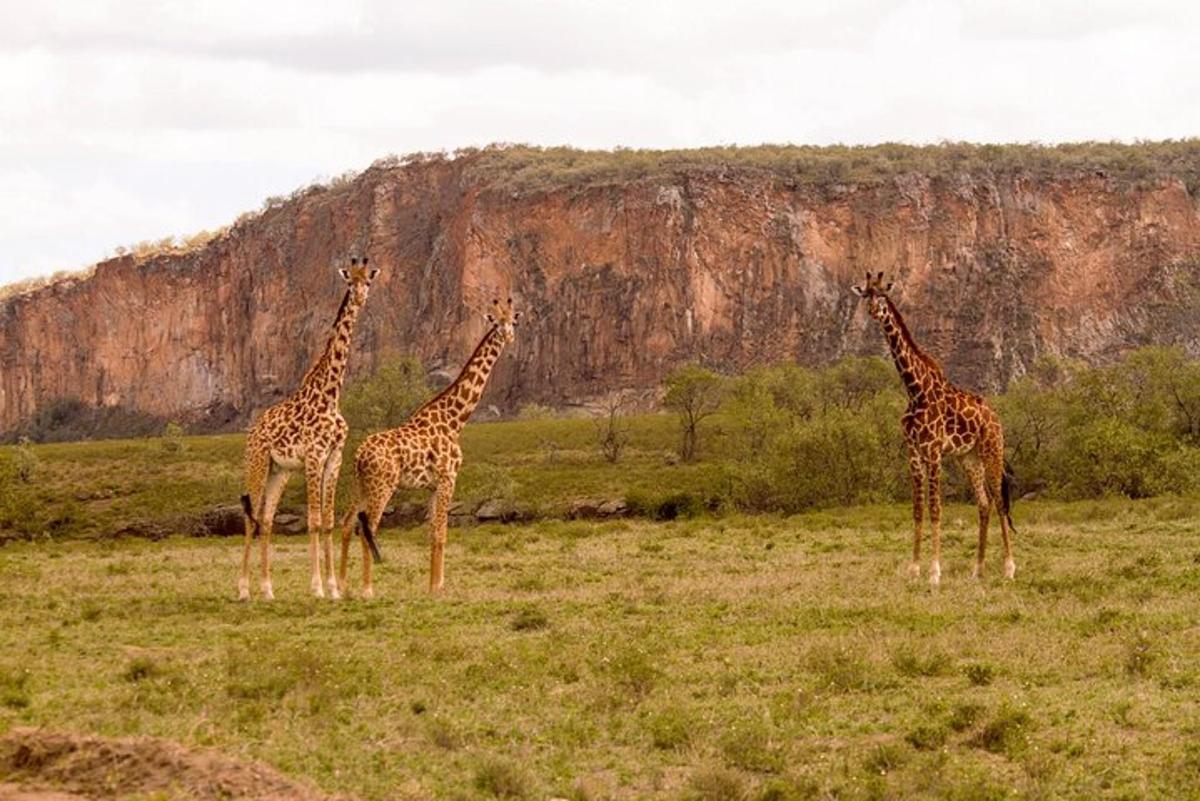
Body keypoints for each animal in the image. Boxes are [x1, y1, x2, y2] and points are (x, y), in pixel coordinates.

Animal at [237, 256, 376, 599]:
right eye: (349, 281)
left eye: (368, 280)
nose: (360, 298)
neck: (331, 394)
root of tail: (253, 430)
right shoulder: (314, 456)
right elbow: (312, 520)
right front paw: (317, 587)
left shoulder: (334, 458)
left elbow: (327, 521)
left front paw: (334, 589)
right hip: (258, 463)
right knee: (250, 518)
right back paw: (244, 589)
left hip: (280, 471)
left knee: (266, 519)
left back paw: (267, 590)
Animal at [340, 297, 523, 597]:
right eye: (496, 323)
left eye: (513, 322)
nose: (509, 337)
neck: (455, 419)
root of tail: (359, 456)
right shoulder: (449, 478)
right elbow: (442, 533)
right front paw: (438, 586)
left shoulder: (433, 485)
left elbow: (432, 533)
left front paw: (431, 585)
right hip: (383, 486)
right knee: (369, 528)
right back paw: (367, 590)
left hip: (361, 486)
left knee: (346, 524)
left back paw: (341, 585)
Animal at [854, 272, 1012, 585]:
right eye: (865, 294)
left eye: (882, 295)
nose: (872, 312)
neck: (916, 391)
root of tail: (994, 415)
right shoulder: (914, 453)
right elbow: (918, 510)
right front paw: (914, 569)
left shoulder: (935, 452)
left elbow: (936, 509)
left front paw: (934, 572)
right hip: (968, 457)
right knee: (984, 502)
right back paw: (977, 570)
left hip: (993, 449)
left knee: (1000, 501)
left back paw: (1009, 568)